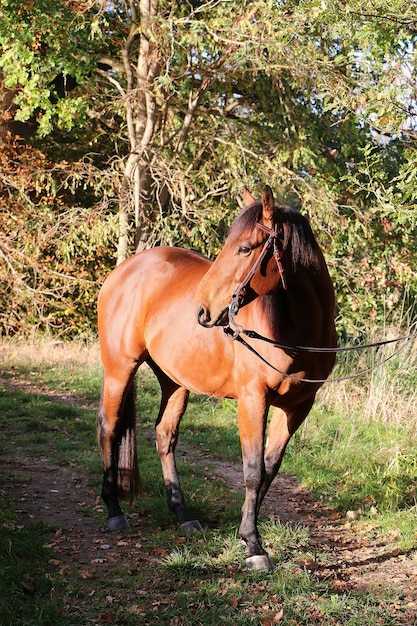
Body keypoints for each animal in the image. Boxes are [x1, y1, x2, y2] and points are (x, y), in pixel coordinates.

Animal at [96, 184, 334, 564]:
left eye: (244, 248)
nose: (202, 310)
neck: (295, 332)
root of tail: (125, 270)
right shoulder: (252, 399)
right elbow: (252, 470)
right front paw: (254, 545)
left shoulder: (299, 406)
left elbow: (270, 468)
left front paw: (243, 533)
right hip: (120, 368)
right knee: (109, 428)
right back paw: (115, 511)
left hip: (174, 380)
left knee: (165, 435)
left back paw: (183, 514)